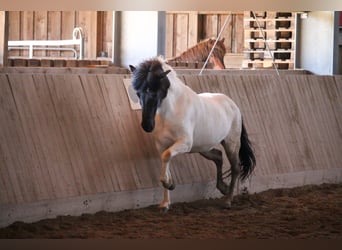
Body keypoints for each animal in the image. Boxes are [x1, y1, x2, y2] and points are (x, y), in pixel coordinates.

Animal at [130, 57, 255, 211]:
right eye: (138, 93)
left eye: (154, 92)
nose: (147, 125)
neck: (171, 111)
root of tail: (234, 106)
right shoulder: (162, 145)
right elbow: (165, 160)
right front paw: (165, 202)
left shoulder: (185, 143)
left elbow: (167, 157)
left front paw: (169, 184)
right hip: (203, 148)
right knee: (218, 156)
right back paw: (223, 188)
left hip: (231, 144)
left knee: (235, 167)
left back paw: (228, 200)